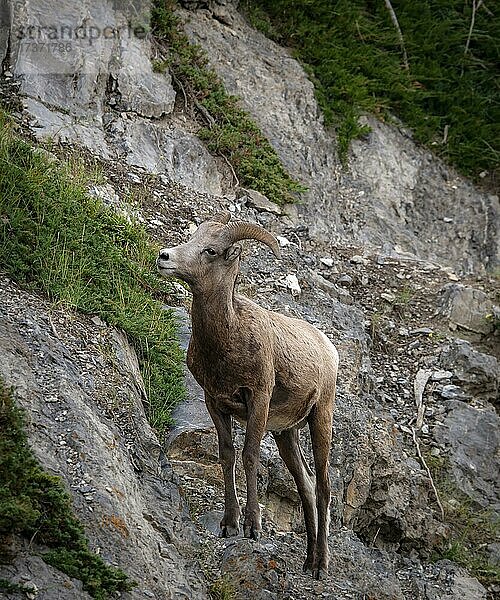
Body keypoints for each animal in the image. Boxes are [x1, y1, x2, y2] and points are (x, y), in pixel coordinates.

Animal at [158, 211, 338, 576]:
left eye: (211, 251)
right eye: (192, 240)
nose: (164, 257)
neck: (229, 338)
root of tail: (330, 350)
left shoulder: (258, 400)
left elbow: (249, 456)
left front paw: (253, 527)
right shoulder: (216, 403)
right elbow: (227, 455)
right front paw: (229, 524)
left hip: (320, 418)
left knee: (323, 487)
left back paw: (320, 566)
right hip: (286, 434)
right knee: (306, 485)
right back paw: (307, 560)